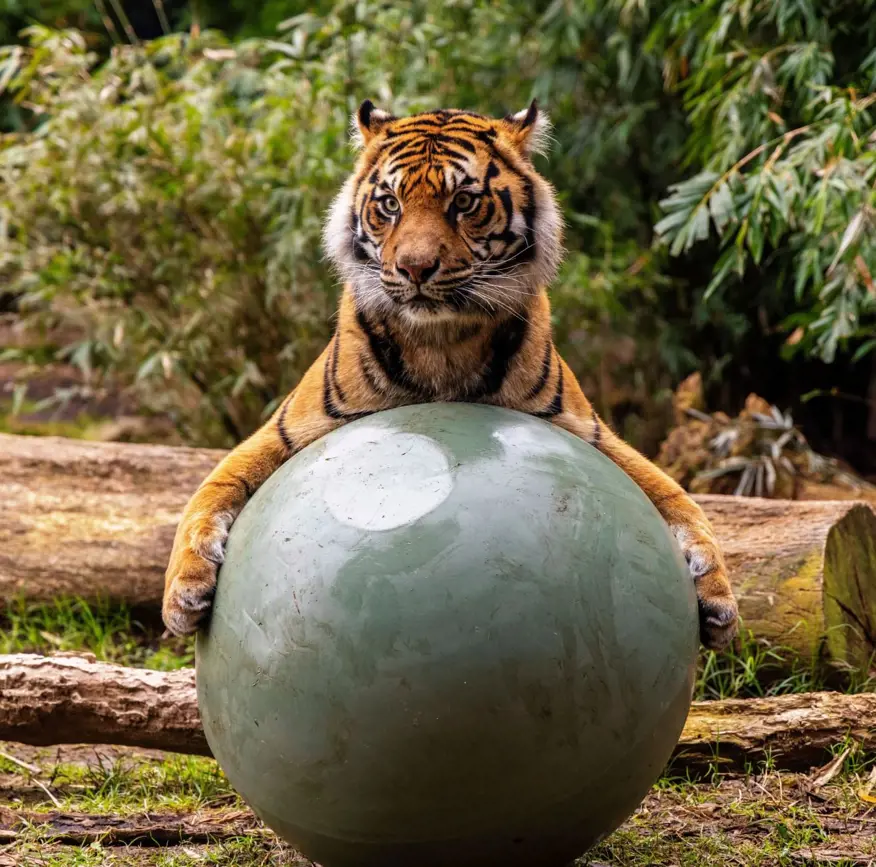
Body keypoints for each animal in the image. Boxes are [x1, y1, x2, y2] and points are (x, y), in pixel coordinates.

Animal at [162, 100, 738, 651]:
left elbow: (676, 496)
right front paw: (183, 592)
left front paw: (719, 597)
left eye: (463, 202)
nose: (415, 268)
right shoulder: (287, 429)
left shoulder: (588, 431)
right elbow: (211, 489)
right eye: (390, 204)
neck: (441, 341)